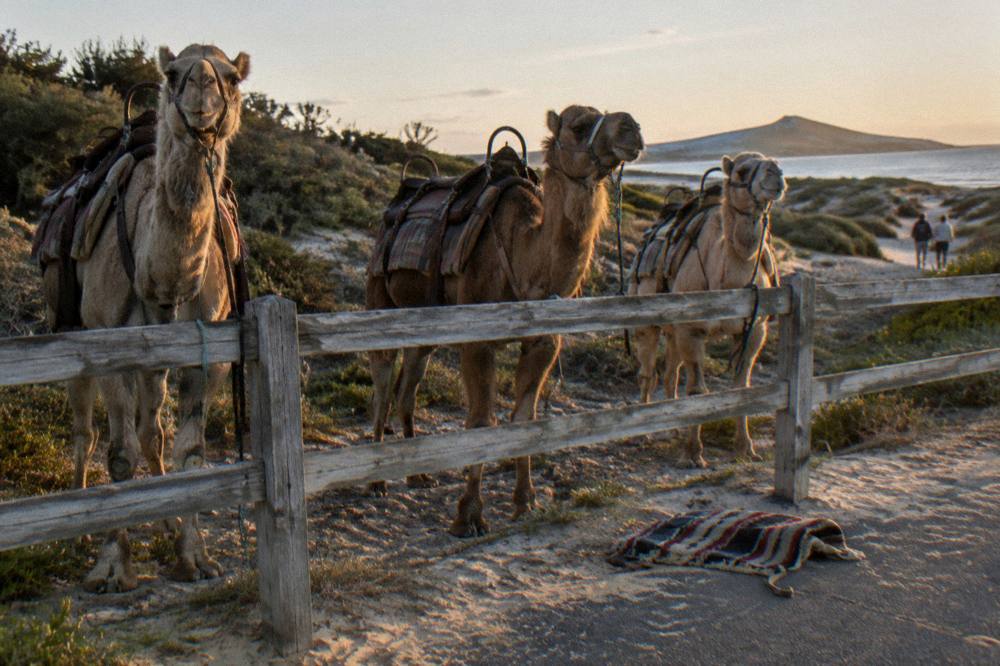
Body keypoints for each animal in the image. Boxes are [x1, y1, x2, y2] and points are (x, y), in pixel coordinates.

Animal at [41, 44, 250, 592]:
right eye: (173, 73)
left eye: (232, 78)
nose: (201, 90)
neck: (164, 280)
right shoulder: (107, 341)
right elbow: (119, 454)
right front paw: (113, 565)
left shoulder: (206, 352)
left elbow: (191, 453)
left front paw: (194, 556)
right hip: (67, 325)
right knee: (85, 427)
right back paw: (78, 527)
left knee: (152, 423)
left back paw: (165, 519)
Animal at [366, 105, 644, 537]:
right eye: (579, 125)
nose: (632, 127)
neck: (524, 254)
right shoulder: (477, 338)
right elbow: (481, 420)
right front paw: (468, 515)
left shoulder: (544, 342)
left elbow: (524, 416)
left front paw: (525, 501)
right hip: (380, 300)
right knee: (381, 385)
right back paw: (377, 481)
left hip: (425, 327)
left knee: (409, 382)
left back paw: (417, 475)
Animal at [631, 152, 785, 468]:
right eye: (742, 170)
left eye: (775, 162)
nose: (776, 175)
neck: (729, 281)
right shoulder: (693, 329)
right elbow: (697, 390)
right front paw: (692, 453)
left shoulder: (754, 328)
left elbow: (741, 386)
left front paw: (745, 448)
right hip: (648, 321)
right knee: (648, 372)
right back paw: (644, 433)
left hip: (673, 330)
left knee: (670, 373)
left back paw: (674, 429)